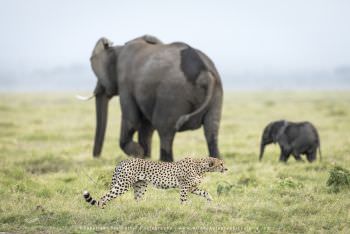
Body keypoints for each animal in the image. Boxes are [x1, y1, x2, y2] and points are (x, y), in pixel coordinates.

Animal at [78, 35, 223, 162]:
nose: (97, 157)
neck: (118, 49)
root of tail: (205, 74)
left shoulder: (125, 82)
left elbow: (132, 120)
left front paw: (138, 153)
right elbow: (146, 126)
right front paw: (145, 158)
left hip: (172, 96)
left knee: (165, 130)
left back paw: (165, 162)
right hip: (216, 95)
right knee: (211, 130)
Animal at [83, 156, 228, 207]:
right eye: (220, 164)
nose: (226, 168)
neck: (201, 167)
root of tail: (124, 160)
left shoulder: (192, 188)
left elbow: (205, 193)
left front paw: (210, 201)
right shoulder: (184, 187)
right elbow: (183, 199)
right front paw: (184, 208)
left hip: (140, 186)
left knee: (137, 199)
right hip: (123, 184)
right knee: (104, 197)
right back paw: (102, 209)